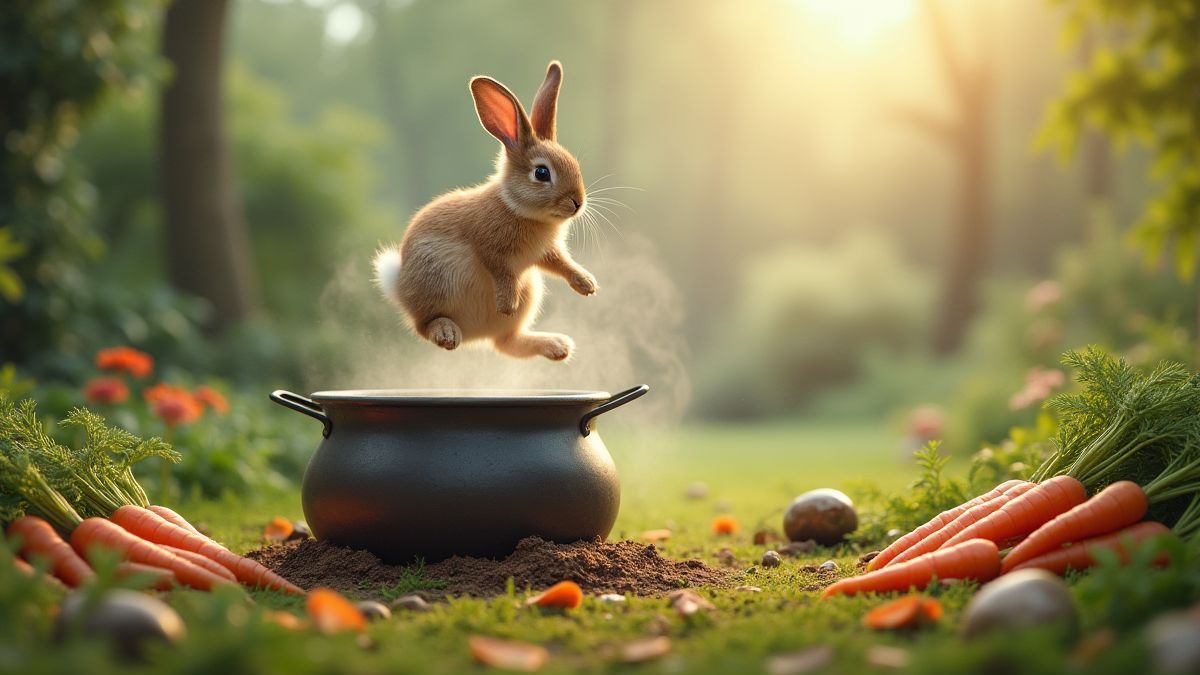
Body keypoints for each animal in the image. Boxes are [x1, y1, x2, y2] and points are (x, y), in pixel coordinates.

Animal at [373, 61, 597, 361]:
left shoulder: (546, 253)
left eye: (575, 165)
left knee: (506, 343)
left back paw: (557, 346)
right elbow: (499, 269)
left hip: (531, 290)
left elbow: (561, 263)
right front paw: (507, 303)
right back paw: (447, 333)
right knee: (424, 324)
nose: (577, 202)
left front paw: (586, 284)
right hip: (435, 281)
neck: (517, 207)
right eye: (541, 173)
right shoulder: (489, 248)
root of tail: (398, 285)